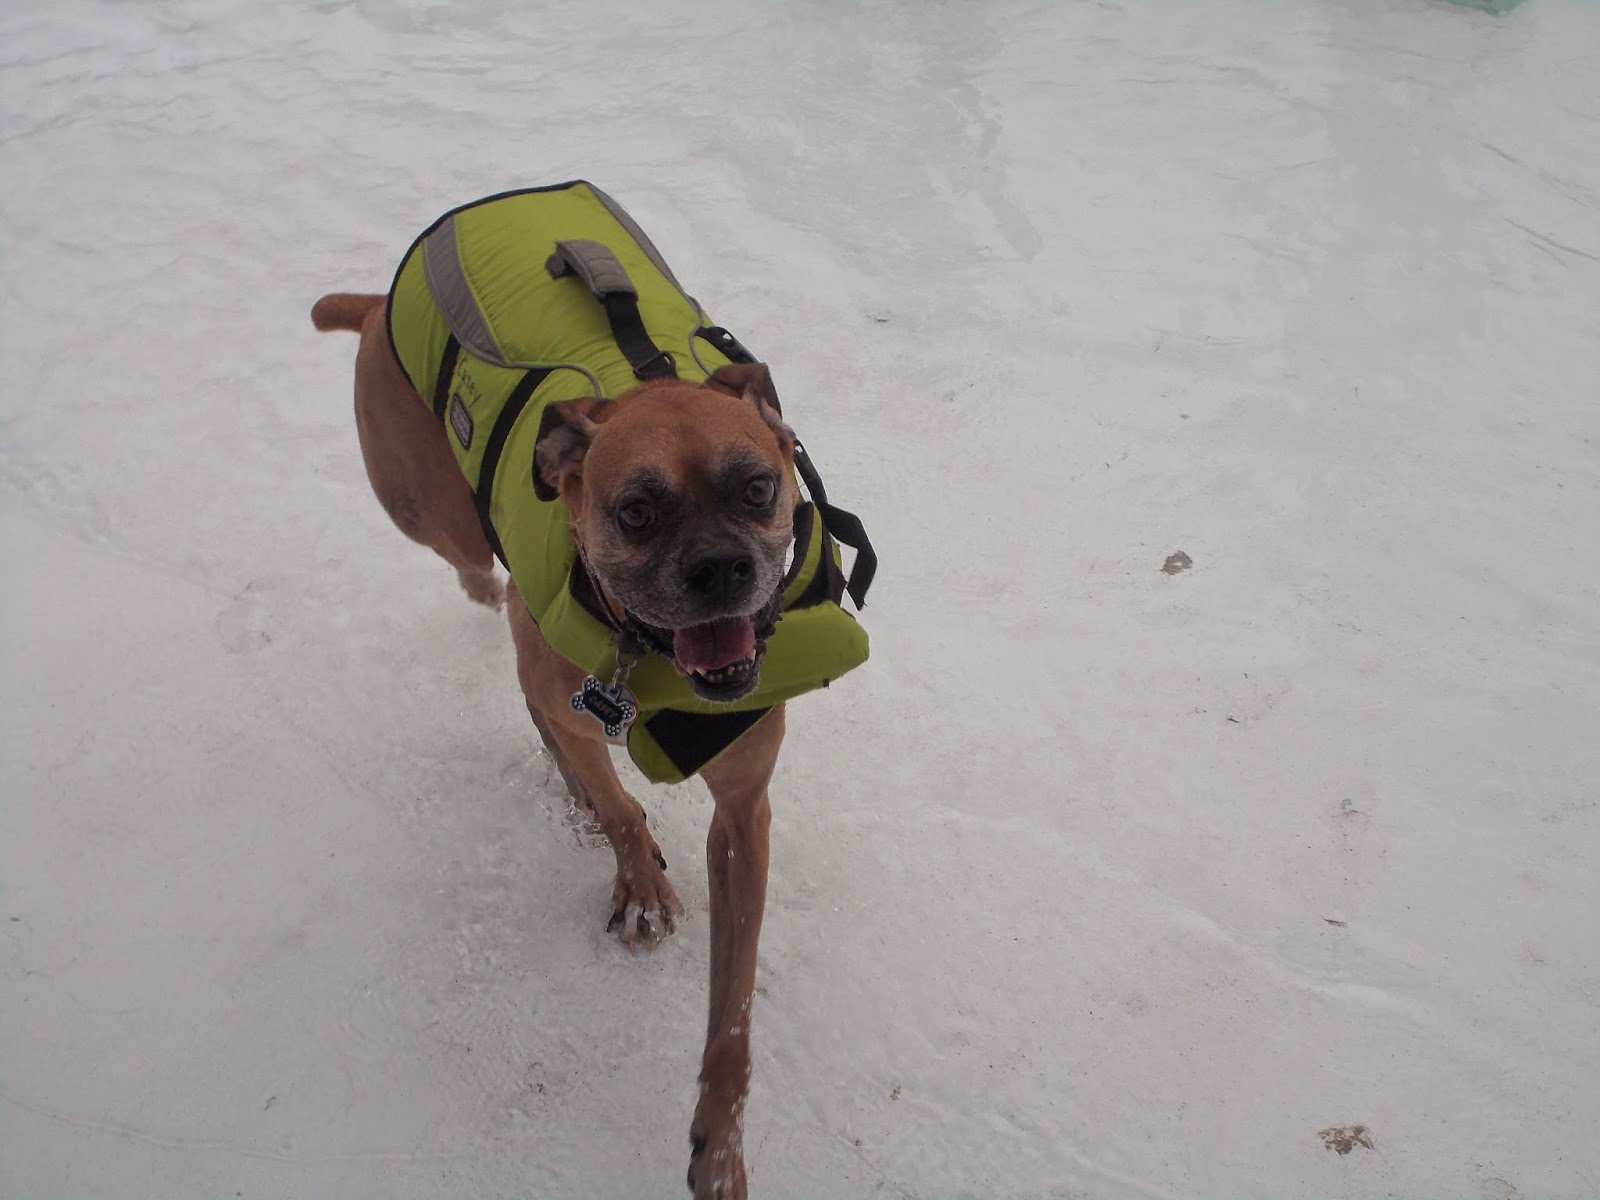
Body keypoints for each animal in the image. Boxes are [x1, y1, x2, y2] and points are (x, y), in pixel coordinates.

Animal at [311, 183, 871, 1197]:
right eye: (636, 512)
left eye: (758, 487)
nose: (719, 568)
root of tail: (374, 306)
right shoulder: (574, 688)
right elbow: (620, 804)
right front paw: (640, 883)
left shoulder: (745, 813)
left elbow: (732, 1013)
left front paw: (719, 1143)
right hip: (431, 514)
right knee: (489, 601)